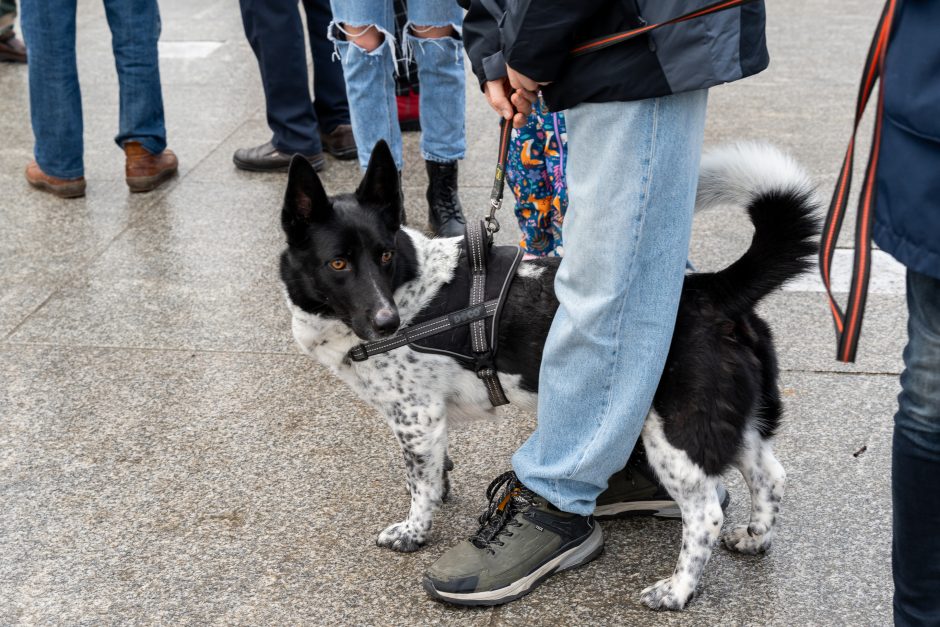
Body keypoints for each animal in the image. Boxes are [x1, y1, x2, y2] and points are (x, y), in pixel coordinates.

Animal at [280, 141, 816, 608]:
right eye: (338, 262)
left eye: (385, 255)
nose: (387, 323)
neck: (409, 286)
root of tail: (709, 289)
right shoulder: (426, 424)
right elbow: (432, 471)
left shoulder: (415, 416)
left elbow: (420, 486)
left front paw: (415, 531)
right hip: (734, 420)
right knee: (770, 477)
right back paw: (755, 538)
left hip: (675, 434)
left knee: (705, 513)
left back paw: (678, 590)